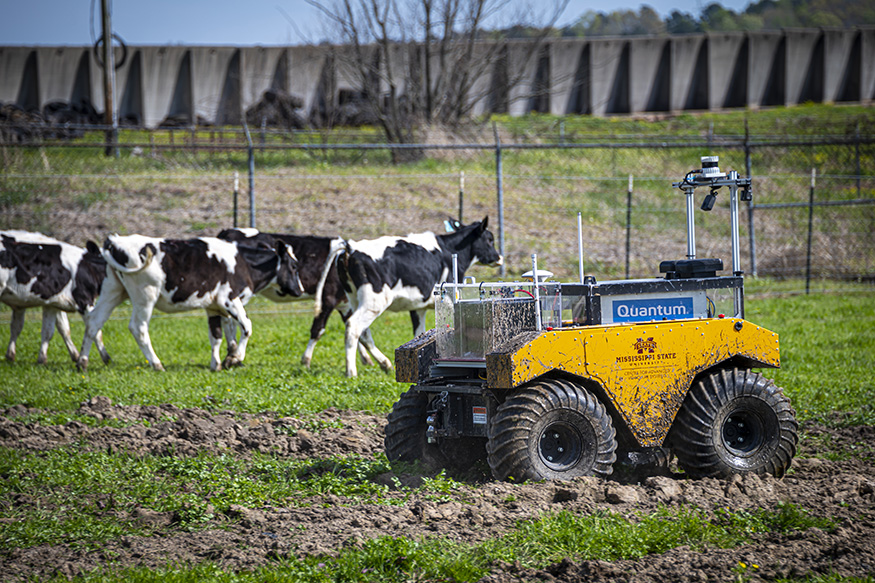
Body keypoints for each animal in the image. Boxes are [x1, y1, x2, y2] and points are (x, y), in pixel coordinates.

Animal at [0, 232, 110, 364]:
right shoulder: (84, 300)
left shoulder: (52, 303)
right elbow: (96, 330)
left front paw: (42, 360)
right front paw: (106, 358)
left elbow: (51, 330)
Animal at [76, 235, 308, 372]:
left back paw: (82, 362)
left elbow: (216, 336)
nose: (300, 290)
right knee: (138, 327)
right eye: (294, 266)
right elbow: (247, 327)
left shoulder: (213, 306)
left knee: (94, 322)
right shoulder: (229, 299)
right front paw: (235, 358)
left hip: (113, 290)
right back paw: (157, 364)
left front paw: (217, 364)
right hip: (145, 295)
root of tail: (115, 241)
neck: (243, 264)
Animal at [217, 229, 378, 370]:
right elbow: (318, 329)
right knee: (229, 321)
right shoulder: (328, 298)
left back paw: (233, 355)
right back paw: (233, 355)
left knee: (228, 320)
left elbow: (361, 331)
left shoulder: (345, 305)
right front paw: (306, 360)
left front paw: (367, 359)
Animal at [318, 219, 504, 378]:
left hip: (355, 298)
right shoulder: (449, 300)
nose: (499, 258)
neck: (449, 249)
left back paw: (384, 363)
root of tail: (350, 247)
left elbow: (419, 332)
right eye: (490, 239)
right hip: (375, 301)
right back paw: (351, 372)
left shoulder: (418, 308)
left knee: (363, 331)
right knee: (354, 326)